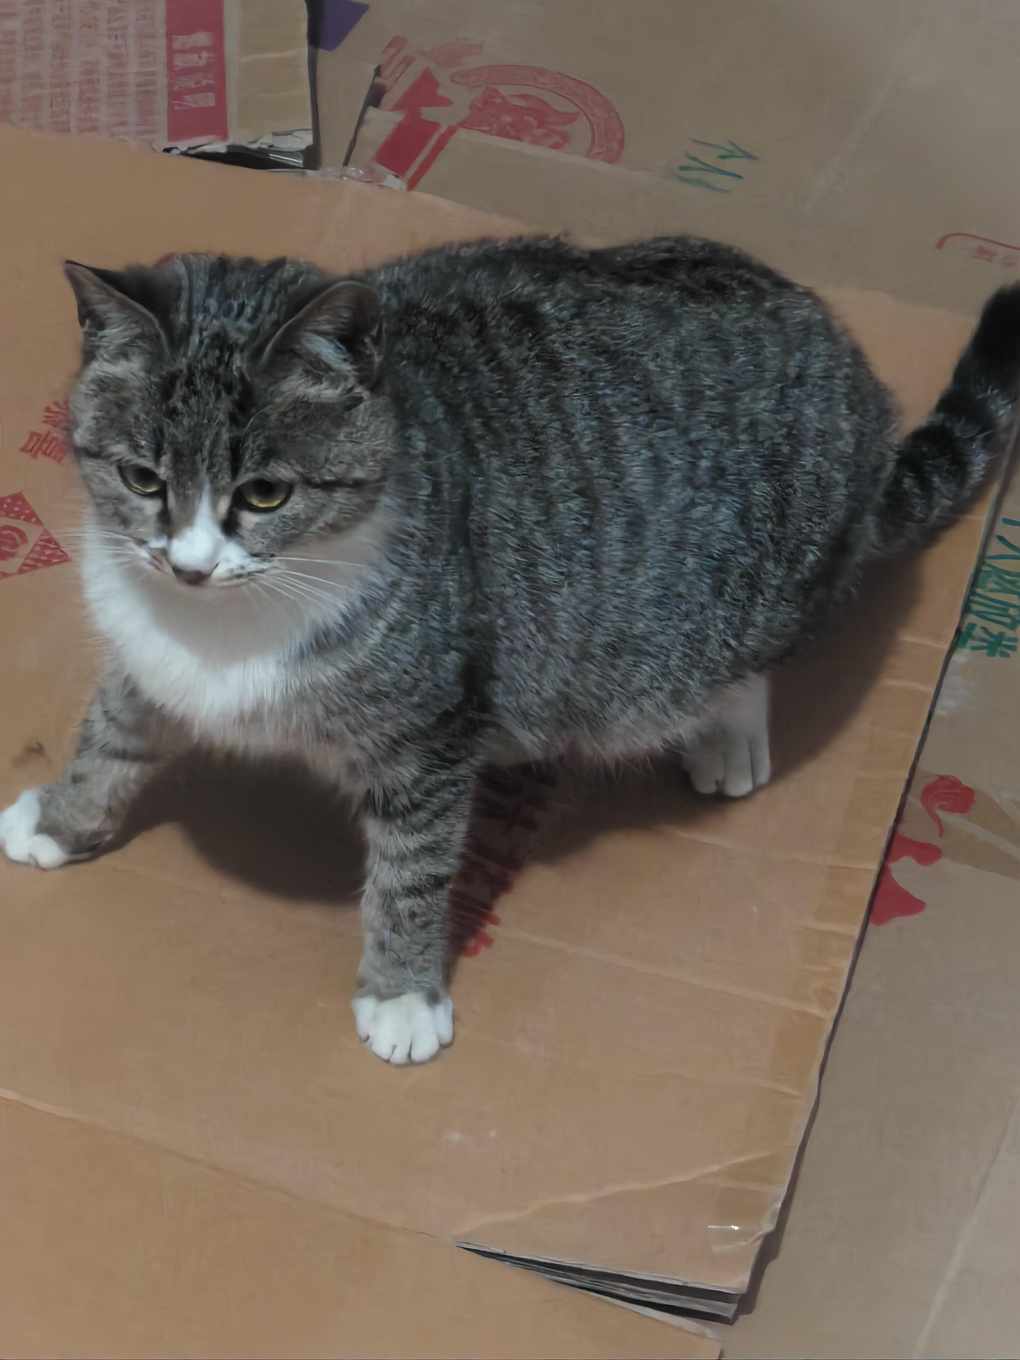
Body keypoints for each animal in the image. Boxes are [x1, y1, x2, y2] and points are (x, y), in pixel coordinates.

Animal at [1, 237, 1017, 1065]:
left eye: (263, 494)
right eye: (142, 478)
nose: (190, 564)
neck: (227, 625)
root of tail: (846, 358)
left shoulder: (435, 729)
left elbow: (412, 871)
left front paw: (402, 994)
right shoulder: (147, 658)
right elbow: (108, 738)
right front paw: (62, 818)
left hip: (742, 601)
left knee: (749, 661)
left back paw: (725, 732)